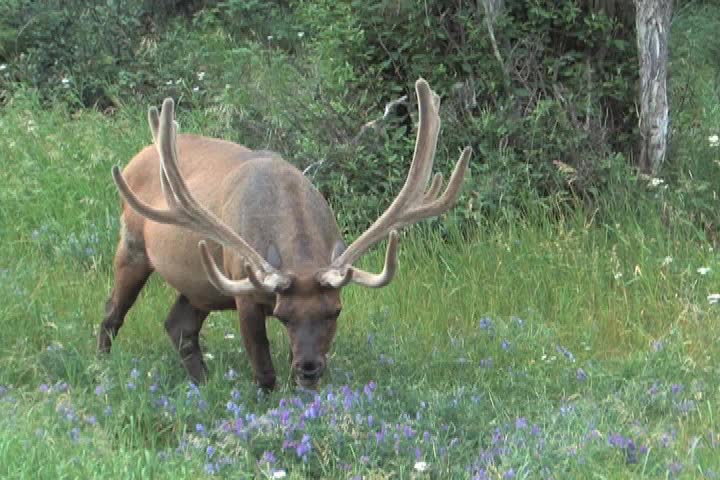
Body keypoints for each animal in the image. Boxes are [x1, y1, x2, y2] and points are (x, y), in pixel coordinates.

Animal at [98, 78, 471, 390]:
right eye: (283, 315)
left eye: (335, 310)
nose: (309, 367)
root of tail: (138, 156)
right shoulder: (245, 293)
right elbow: (263, 370)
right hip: (132, 246)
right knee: (112, 313)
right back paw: (102, 369)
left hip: (202, 285)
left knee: (179, 326)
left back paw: (201, 384)